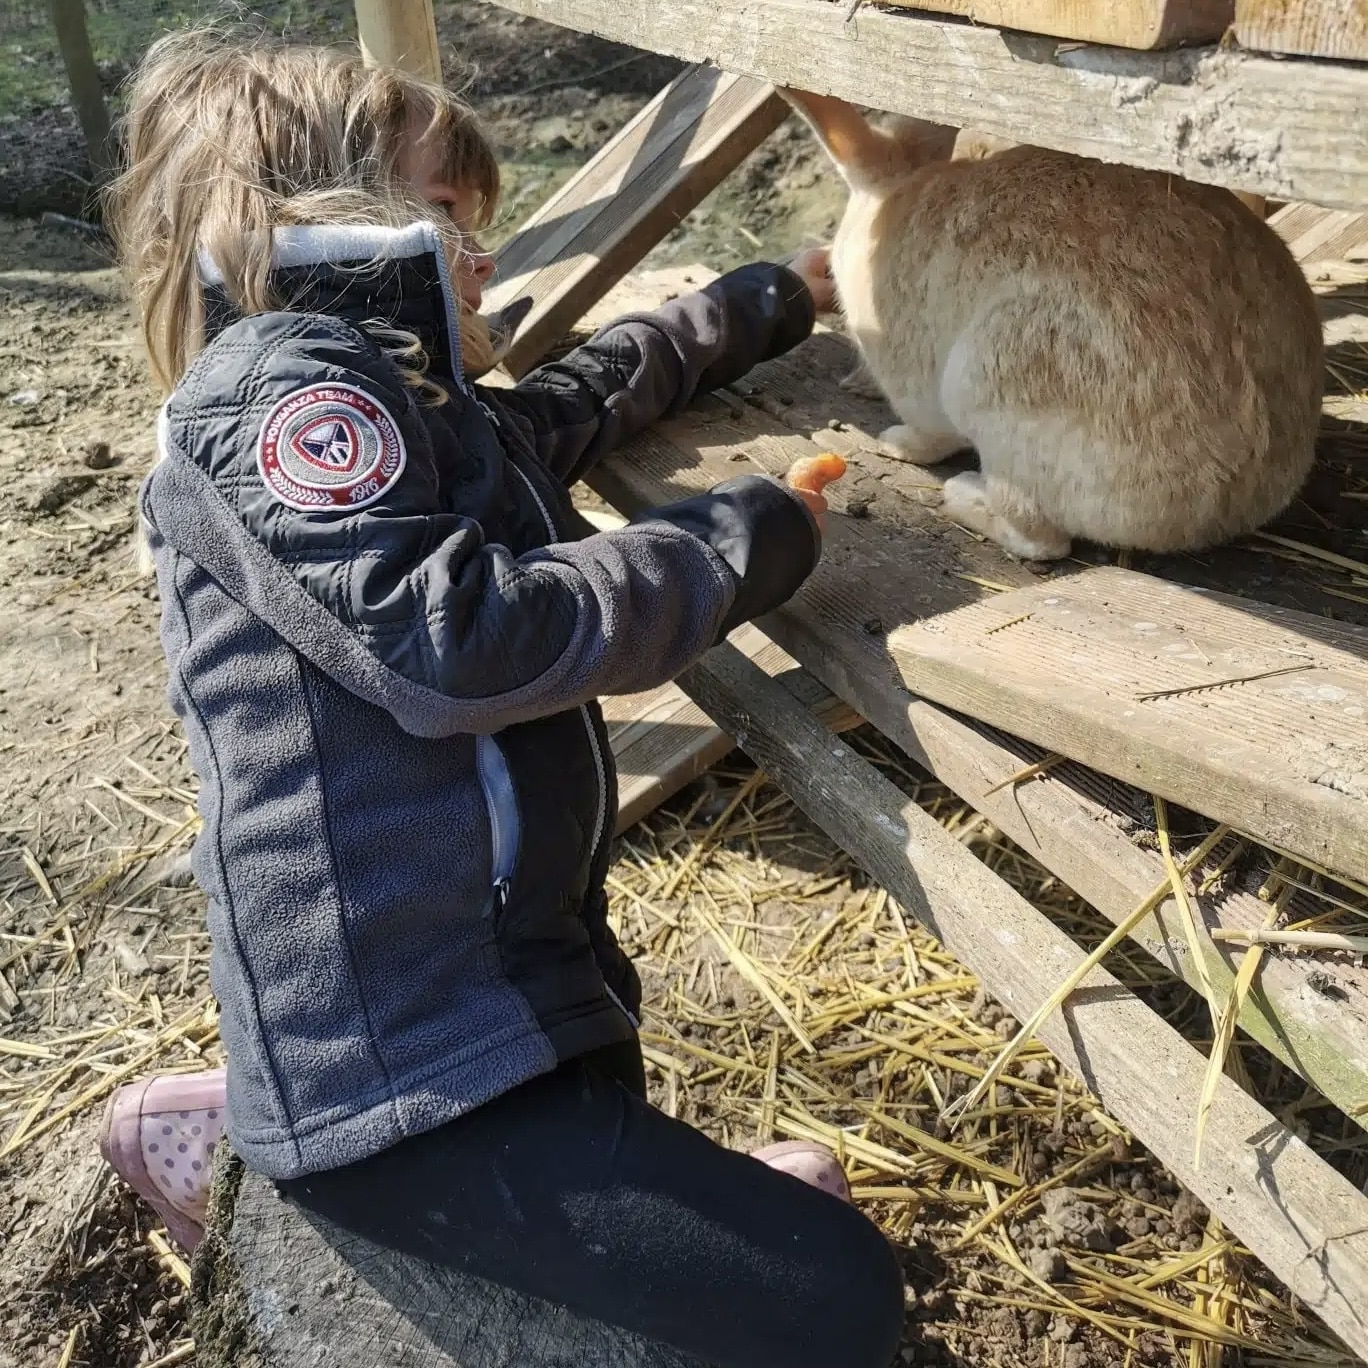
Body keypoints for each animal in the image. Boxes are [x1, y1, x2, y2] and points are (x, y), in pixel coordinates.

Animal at [782, 88, 1324, 558]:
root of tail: (1228, 505)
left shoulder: (916, 387)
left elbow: (928, 435)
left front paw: (895, 444)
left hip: (992, 386)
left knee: (1042, 540)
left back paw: (963, 495)